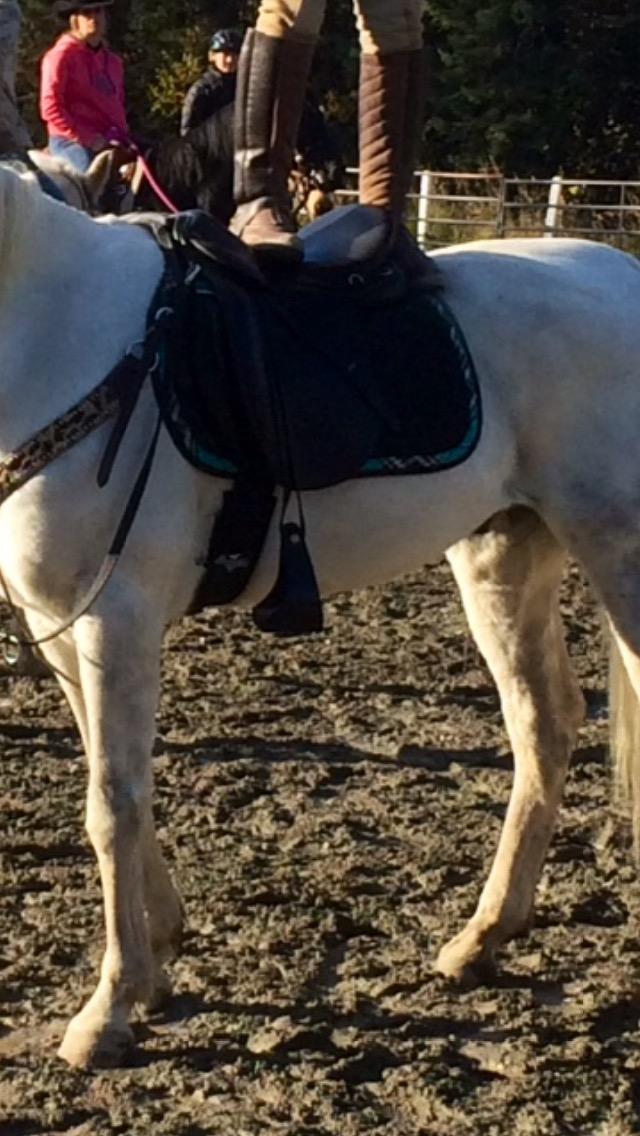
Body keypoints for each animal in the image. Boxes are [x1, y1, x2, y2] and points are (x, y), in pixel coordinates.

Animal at [2, 160, 640, 1071]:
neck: (49, 335)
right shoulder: (59, 629)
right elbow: (115, 785)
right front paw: (156, 960)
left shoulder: (112, 622)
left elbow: (111, 804)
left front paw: (108, 1011)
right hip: (503, 555)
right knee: (543, 725)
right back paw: (482, 938)